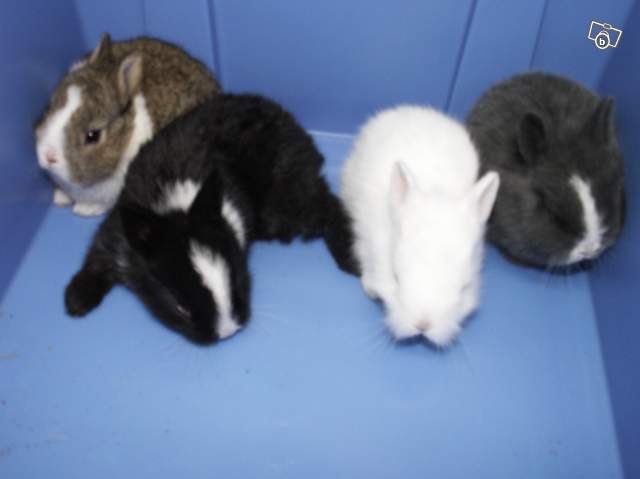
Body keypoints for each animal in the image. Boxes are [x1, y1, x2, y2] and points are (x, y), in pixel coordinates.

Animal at [64, 93, 358, 344]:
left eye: (240, 280)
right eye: (180, 307)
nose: (226, 332)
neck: (177, 208)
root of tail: (294, 127)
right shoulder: (116, 233)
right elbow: (96, 259)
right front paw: (76, 301)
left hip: (285, 202)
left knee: (328, 206)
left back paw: (350, 259)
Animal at [341, 105, 500, 346]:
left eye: (464, 288)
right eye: (395, 277)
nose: (423, 326)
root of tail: (409, 109)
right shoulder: (365, 239)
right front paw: (370, 289)